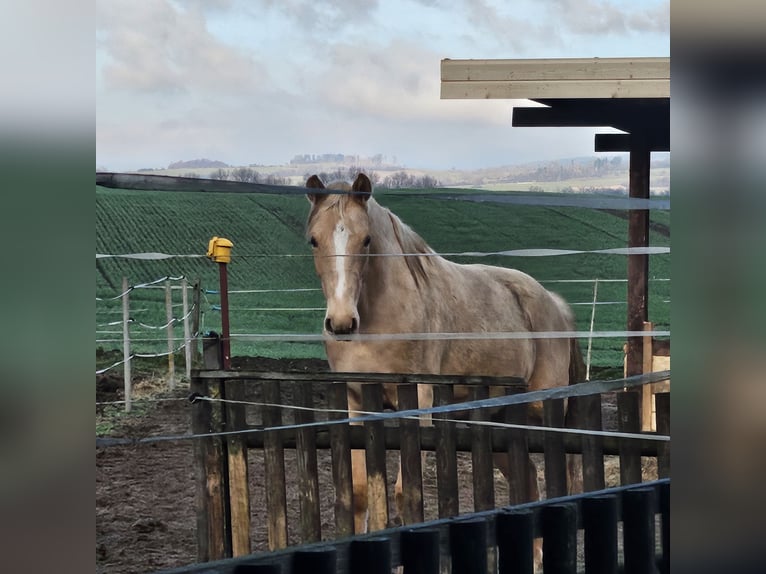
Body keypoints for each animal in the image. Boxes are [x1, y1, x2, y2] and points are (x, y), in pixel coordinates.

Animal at [305, 173, 584, 564]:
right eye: (314, 239)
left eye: (367, 239)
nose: (342, 322)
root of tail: (554, 304)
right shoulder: (356, 401)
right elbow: (358, 493)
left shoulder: (419, 403)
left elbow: (408, 493)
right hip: (502, 421)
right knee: (526, 477)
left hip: (543, 411)